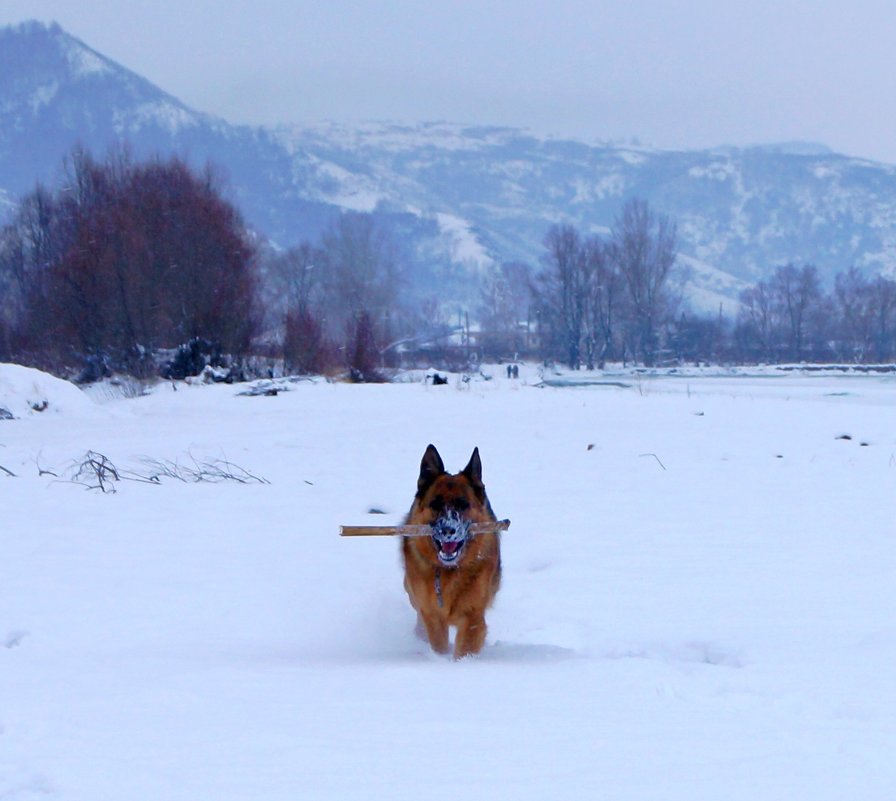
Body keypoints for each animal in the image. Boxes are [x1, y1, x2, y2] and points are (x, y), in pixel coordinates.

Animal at [402, 444, 500, 656]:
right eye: (435, 504)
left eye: (463, 504)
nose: (448, 530)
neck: (447, 571)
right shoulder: (432, 615)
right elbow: (438, 643)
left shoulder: (472, 617)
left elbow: (466, 648)